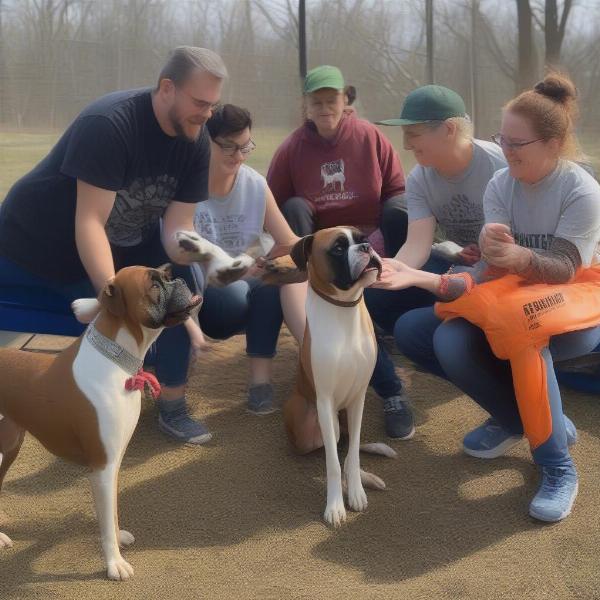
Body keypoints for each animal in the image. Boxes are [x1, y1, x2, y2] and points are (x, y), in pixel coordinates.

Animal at [0, 264, 202, 580]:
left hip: (8, 448)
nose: (180, 279)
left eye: (167, 275)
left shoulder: (113, 462)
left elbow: (112, 512)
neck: (116, 361)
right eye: (154, 285)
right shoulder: (102, 466)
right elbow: (106, 520)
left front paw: (118, 540)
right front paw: (114, 563)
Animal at [264, 227, 396, 528]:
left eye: (362, 238)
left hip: (343, 415)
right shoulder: (325, 401)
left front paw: (357, 488)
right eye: (338, 248)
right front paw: (335, 505)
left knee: (346, 444)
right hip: (308, 422)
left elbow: (353, 452)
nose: (367, 247)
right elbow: (333, 464)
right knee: (331, 446)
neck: (344, 310)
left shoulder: (358, 399)